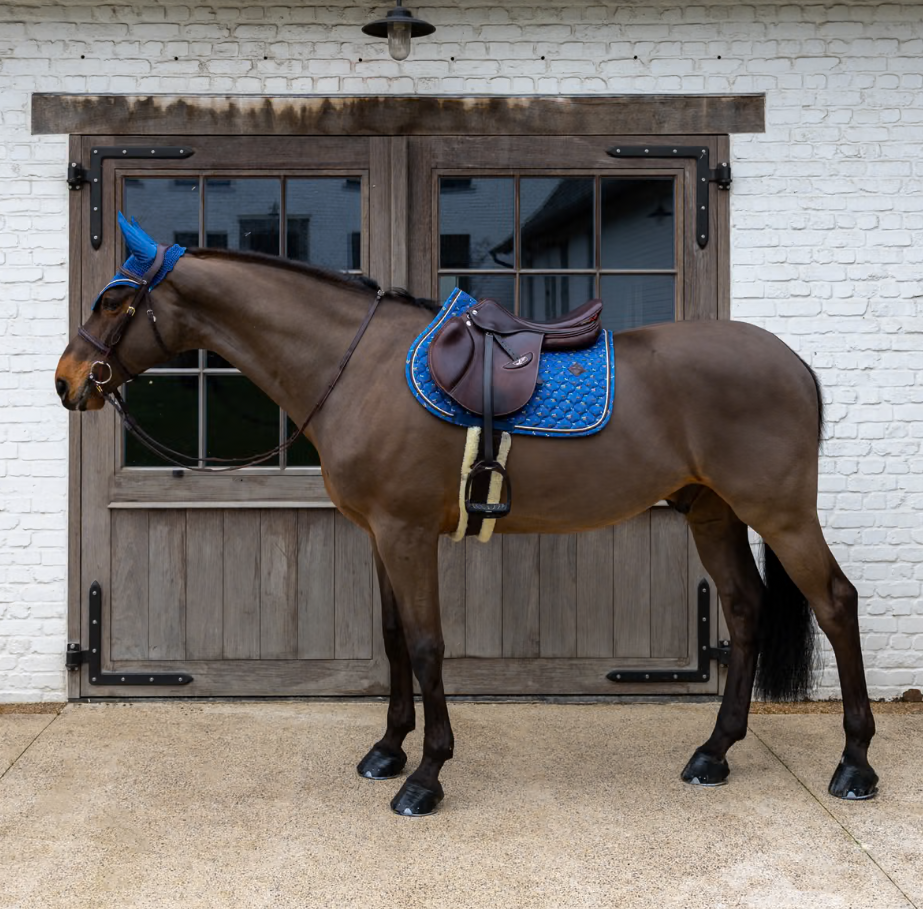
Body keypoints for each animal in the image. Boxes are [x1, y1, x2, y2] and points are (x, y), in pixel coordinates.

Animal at [55, 220, 879, 816]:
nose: (68, 381)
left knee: (836, 604)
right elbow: (393, 640)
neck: (357, 367)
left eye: (113, 299)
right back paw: (714, 753)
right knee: (743, 609)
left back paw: (854, 764)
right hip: (713, 513)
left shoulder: (407, 534)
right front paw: (388, 749)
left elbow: (426, 646)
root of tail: (792, 362)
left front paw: (425, 776)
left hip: (780, 513)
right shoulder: (378, 535)